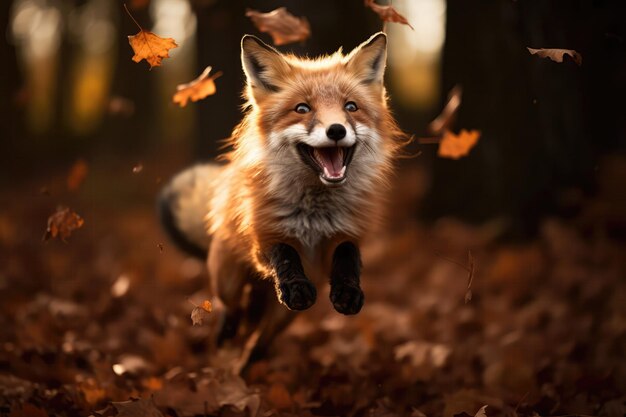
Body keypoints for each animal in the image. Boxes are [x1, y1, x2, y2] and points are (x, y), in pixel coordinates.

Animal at [158, 32, 408, 362]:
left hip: (280, 319)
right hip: (228, 280)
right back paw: (226, 337)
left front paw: (348, 290)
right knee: (230, 309)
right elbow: (284, 251)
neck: (315, 214)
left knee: (257, 342)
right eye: (302, 109)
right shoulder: (263, 240)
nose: (337, 130)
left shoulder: (341, 241)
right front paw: (294, 284)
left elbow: (348, 253)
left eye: (351, 106)